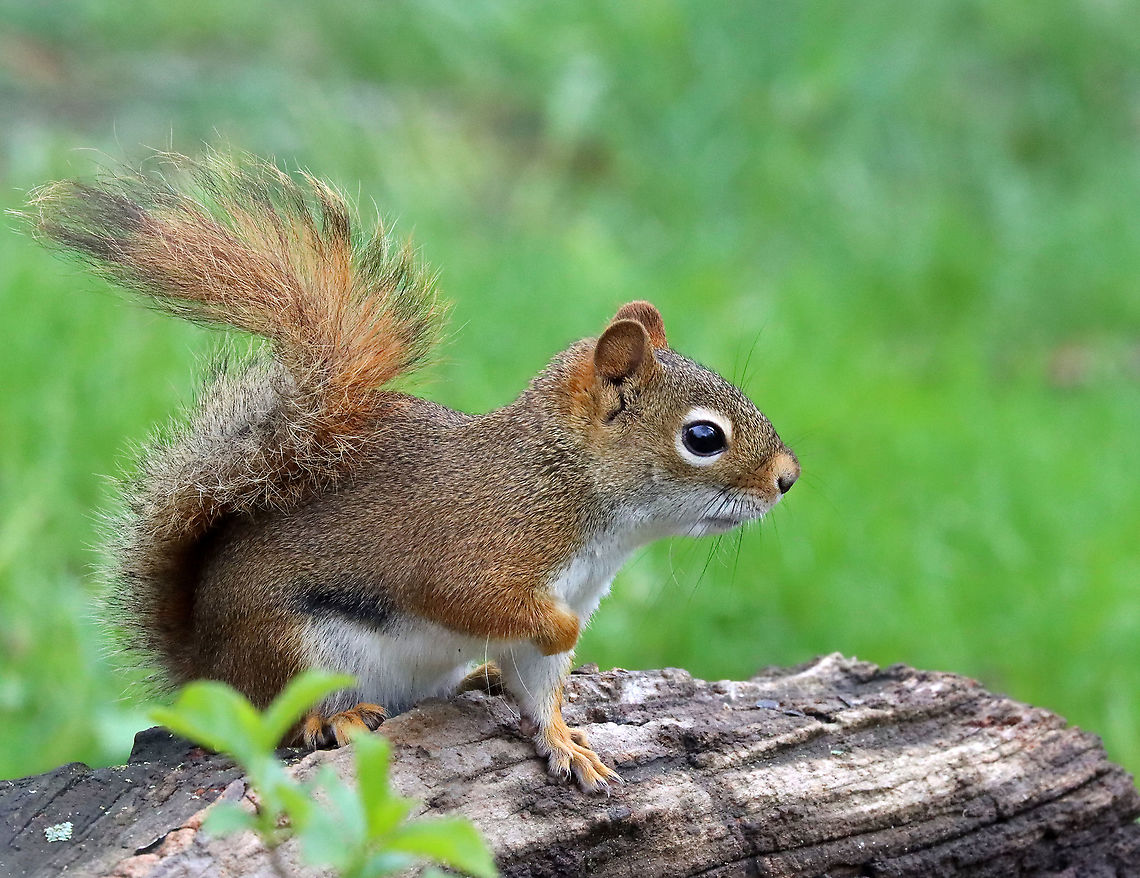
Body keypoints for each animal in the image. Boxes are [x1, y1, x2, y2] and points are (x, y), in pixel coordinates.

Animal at [26, 152, 800, 792]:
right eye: (703, 437)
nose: (788, 478)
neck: (569, 486)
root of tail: (208, 667)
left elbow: (539, 688)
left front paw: (564, 742)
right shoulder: (477, 548)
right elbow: (475, 601)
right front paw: (559, 638)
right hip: (293, 650)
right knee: (281, 717)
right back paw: (333, 720)